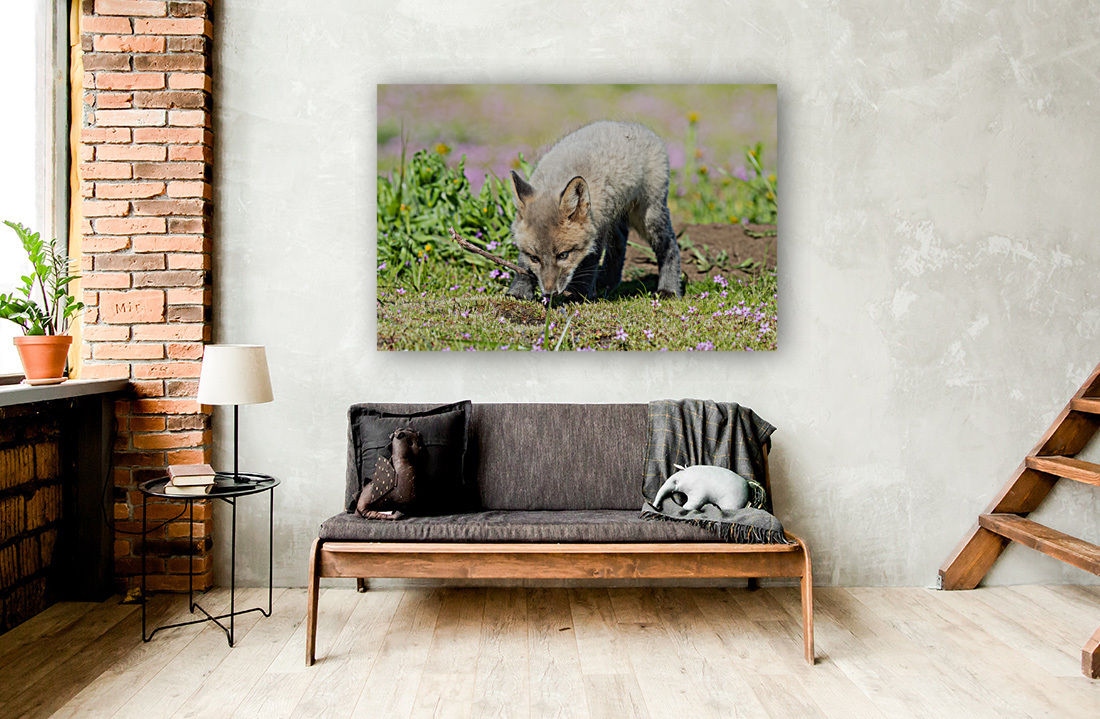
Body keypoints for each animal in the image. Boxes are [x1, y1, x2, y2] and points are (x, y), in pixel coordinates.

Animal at [506, 121, 682, 300]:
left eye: (563, 255)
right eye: (534, 258)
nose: (550, 293)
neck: (556, 181)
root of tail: (634, 126)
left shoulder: (597, 228)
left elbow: (588, 264)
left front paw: (578, 297)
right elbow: (523, 266)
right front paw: (519, 292)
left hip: (647, 216)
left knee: (670, 244)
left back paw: (669, 289)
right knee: (620, 240)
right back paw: (608, 282)